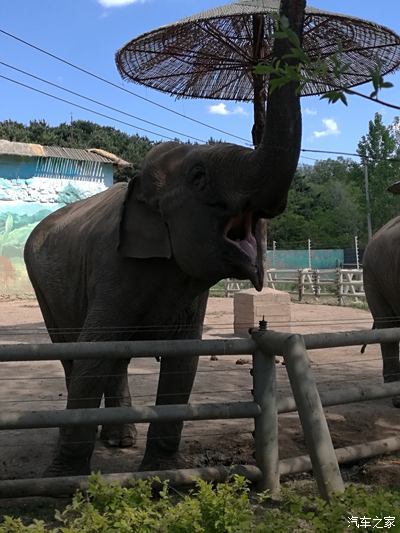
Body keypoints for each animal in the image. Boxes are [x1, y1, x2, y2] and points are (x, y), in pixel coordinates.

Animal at [23, 0, 304, 476]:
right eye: (199, 176)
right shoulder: (114, 267)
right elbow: (93, 354)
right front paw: (60, 480)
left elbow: (182, 361)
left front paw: (162, 474)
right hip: (44, 283)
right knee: (71, 352)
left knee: (113, 357)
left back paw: (120, 439)